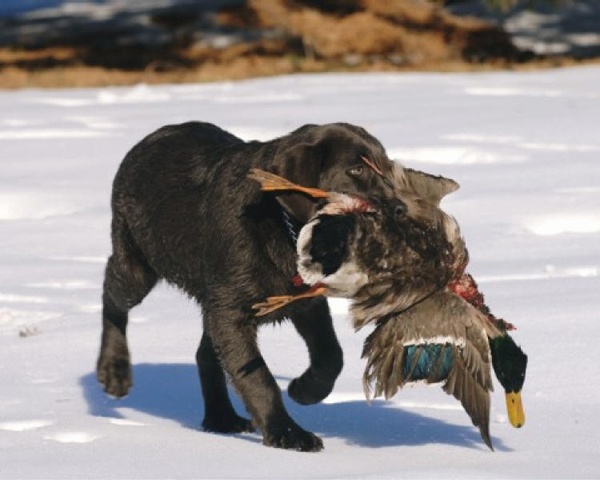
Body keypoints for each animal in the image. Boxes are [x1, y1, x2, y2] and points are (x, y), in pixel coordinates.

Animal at [97, 120, 404, 450]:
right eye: (356, 170)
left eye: (386, 167)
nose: (401, 210)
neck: (279, 222)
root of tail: (146, 141)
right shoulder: (230, 313)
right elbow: (257, 377)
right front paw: (287, 433)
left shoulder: (304, 301)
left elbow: (331, 355)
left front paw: (305, 390)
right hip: (138, 269)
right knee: (111, 294)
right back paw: (113, 371)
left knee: (205, 354)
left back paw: (221, 418)